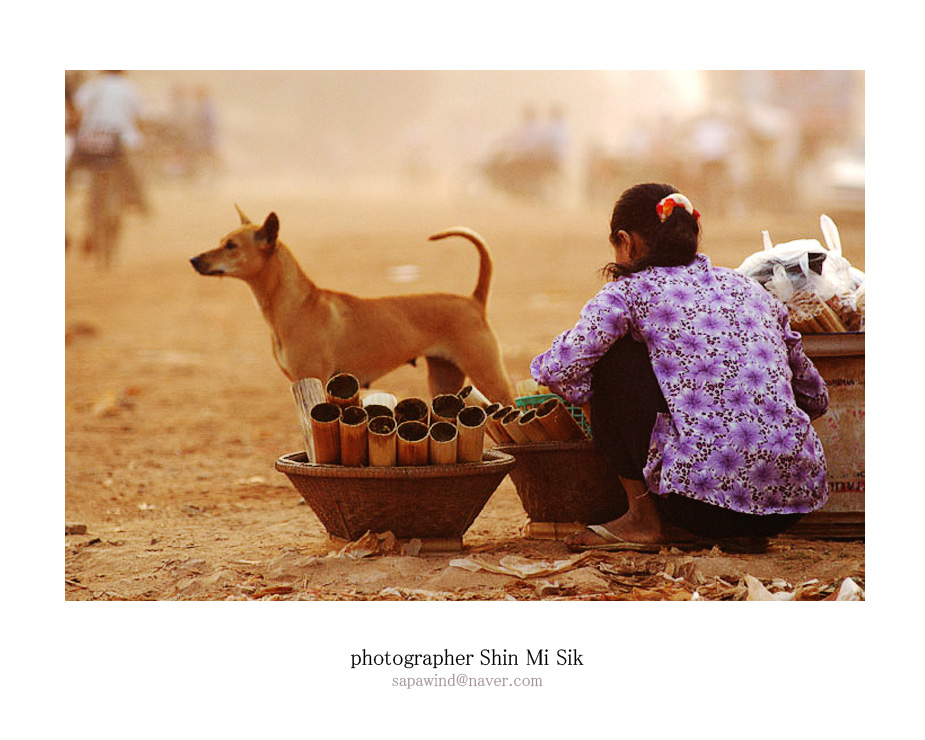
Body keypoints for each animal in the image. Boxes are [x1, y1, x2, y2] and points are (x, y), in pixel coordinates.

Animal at [191, 208, 516, 404]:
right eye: (222, 241)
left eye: (231, 246)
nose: (193, 259)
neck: (297, 304)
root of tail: (474, 300)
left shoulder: (315, 380)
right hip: (444, 378)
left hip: (489, 374)